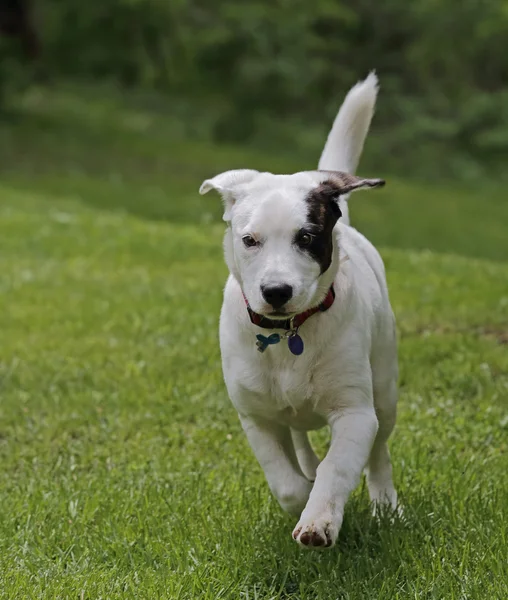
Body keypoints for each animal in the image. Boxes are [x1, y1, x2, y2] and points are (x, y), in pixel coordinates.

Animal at [200, 74, 398, 548]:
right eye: (249, 240)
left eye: (307, 237)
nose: (276, 291)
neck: (290, 331)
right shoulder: (254, 415)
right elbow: (284, 481)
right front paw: (302, 495)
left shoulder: (354, 412)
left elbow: (339, 466)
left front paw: (319, 519)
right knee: (298, 432)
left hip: (385, 384)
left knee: (380, 446)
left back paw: (385, 503)